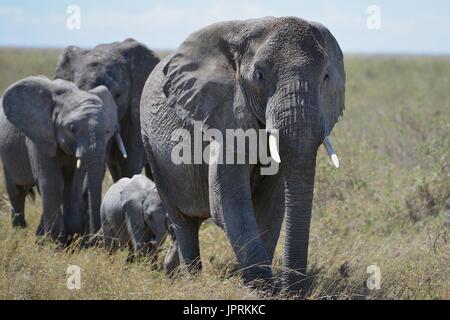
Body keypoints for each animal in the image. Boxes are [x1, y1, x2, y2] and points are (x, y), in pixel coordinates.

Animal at [0, 76, 122, 241]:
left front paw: (72, 238)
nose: (95, 238)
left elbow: (74, 184)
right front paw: (55, 242)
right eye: (72, 129)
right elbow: (52, 183)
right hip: (7, 156)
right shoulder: (40, 136)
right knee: (17, 191)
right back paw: (19, 235)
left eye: (107, 131)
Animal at [141, 17, 344, 292]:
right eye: (259, 75)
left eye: (326, 77)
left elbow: (272, 206)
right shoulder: (226, 113)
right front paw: (262, 288)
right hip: (151, 148)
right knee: (182, 221)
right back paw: (191, 279)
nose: (293, 290)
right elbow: (229, 202)